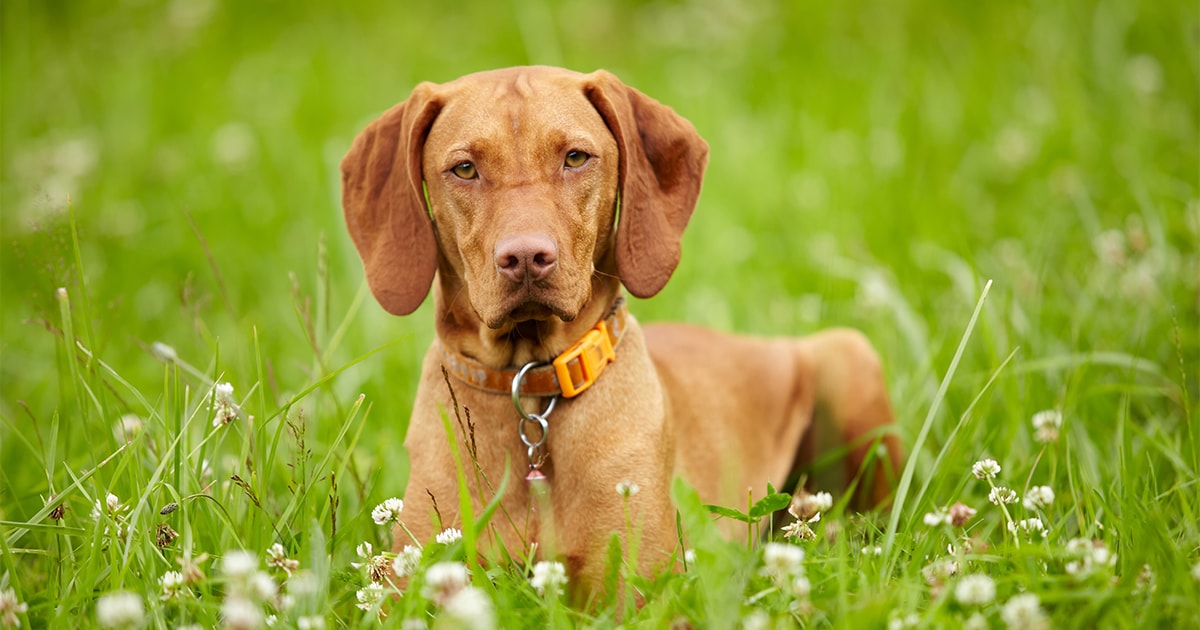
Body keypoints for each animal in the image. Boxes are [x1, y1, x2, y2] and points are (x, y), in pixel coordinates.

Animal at [338, 66, 902, 592]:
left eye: (575, 158)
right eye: (464, 168)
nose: (526, 258)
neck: (529, 388)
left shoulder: (636, 592)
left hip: (848, 356)